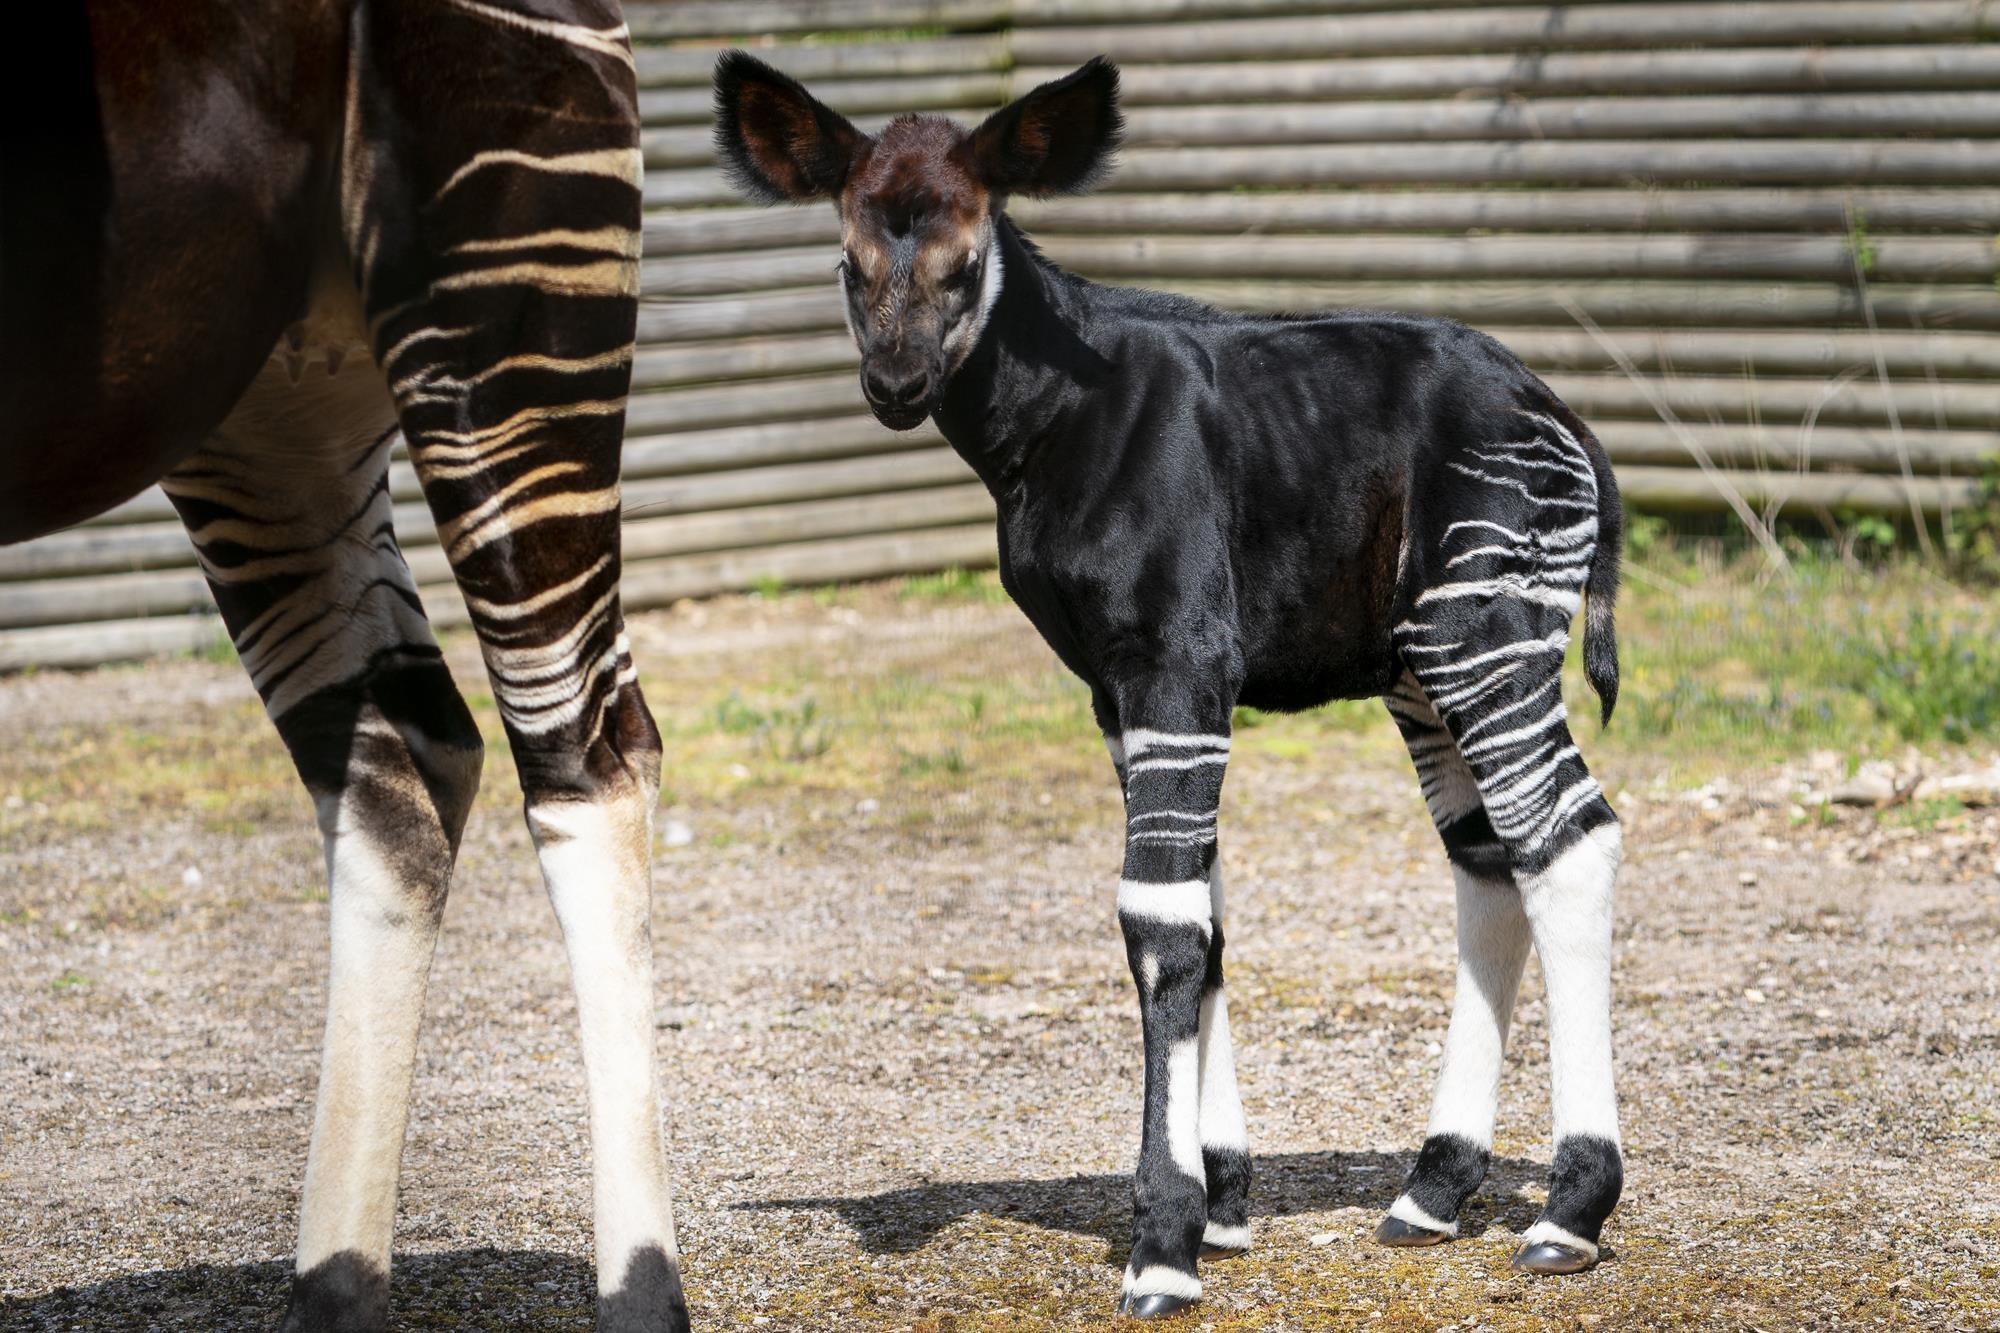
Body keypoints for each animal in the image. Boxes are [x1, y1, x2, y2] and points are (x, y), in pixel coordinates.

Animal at [720, 49, 1624, 1304]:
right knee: (1491, 862)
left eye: (965, 262)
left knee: (1567, 842)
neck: (1051, 424)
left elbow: (1157, 921)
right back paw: (1432, 1189)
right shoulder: (1116, 688)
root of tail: (1561, 413)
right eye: (848, 263)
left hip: (1483, 627)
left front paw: (1164, 1237)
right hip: (1417, 664)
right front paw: (1225, 1197)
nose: (893, 382)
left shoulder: (1178, 658)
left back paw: (1570, 1209)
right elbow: (1201, 912)